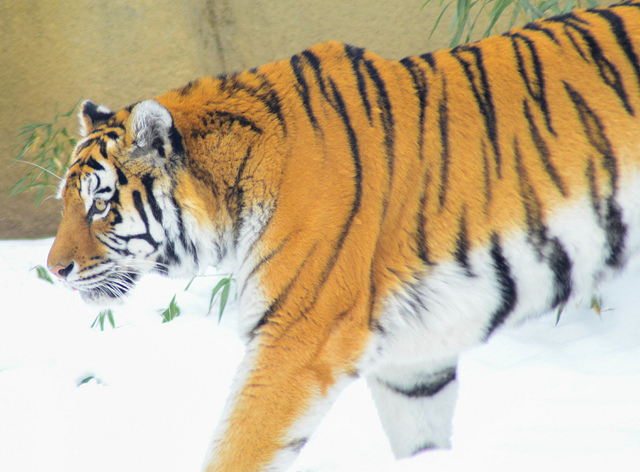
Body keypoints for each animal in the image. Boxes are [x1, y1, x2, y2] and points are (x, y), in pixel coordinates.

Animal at [47, 1, 640, 470]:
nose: (53, 271)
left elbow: (237, 446)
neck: (232, 193)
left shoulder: (296, 335)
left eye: (99, 203)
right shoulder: (413, 358)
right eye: (67, 203)